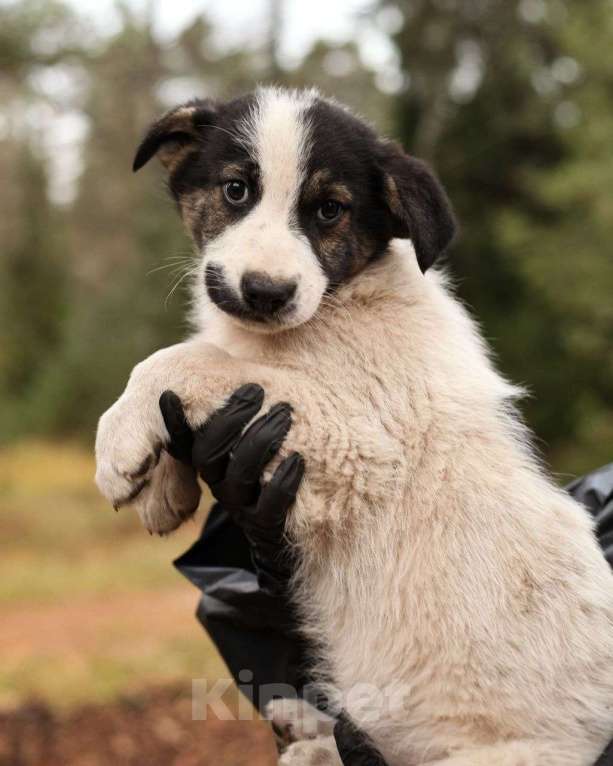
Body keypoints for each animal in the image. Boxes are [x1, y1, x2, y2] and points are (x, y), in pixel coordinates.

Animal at [94, 87, 612, 764]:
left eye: (330, 210)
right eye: (236, 190)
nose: (266, 292)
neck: (334, 305)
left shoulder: (361, 438)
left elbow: (186, 360)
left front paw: (117, 445)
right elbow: (194, 389)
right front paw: (162, 490)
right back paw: (306, 732)